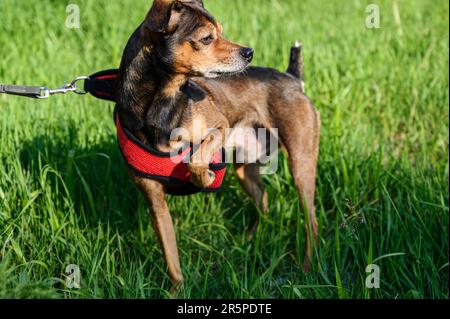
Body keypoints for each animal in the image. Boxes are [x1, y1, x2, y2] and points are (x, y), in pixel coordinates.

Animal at [116, 0, 320, 288]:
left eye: (221, 31)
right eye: (207, 38)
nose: (249, 52)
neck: (163, 103)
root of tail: (292, 78)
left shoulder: (219, 126)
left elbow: (195, 160)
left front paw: (204, 178)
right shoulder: (154, 200)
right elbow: (171, 258)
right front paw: (178, 290)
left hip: (301, 164)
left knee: (311, 223)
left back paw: (306, 269)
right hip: (245, 169)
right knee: (264, 200)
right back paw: (251, 241)